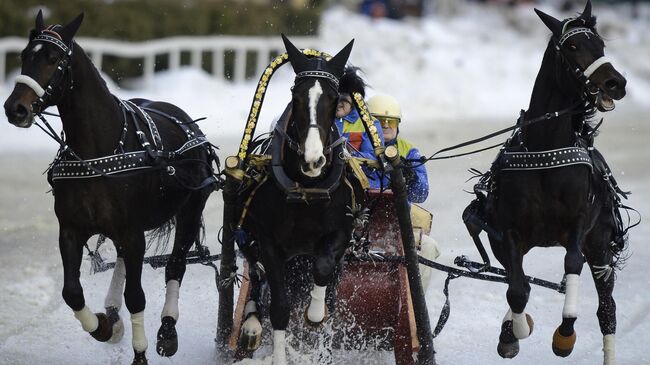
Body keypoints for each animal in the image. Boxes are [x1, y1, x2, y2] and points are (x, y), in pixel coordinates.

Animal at [3, 11, 216, 364]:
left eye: (54, 59)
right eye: (23, 56)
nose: (15, 108)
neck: (96, 153)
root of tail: (188, 123)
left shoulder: (132, 232)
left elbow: (137, 296)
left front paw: (141, 352)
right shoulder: (71, 230)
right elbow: (72, 292)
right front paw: (103, 326)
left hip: (189, 209)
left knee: (175, 266)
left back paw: (167, 328)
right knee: (122, 264)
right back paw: (113, 312)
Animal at [234, 34, 364, 364]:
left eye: (334, 97)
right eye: (296, 95)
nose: (313, 159)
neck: (307, 189)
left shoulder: (340, 231)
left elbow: (323, 269)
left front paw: (315, 314)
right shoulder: (268, 241)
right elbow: (280, 306)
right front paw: (280, 354)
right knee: (257, 276)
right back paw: (252, 324)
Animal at [464, 1, 624, 362]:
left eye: (601, 45)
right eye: (573, 46)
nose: (616, 83)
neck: (545, 150)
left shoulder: (579, 224)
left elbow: (572, 263)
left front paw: (565, 334)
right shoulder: (508, 232)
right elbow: (517, 289)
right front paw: (513, 332)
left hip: (600, 244)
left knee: (607, 310)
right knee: (518, 280)